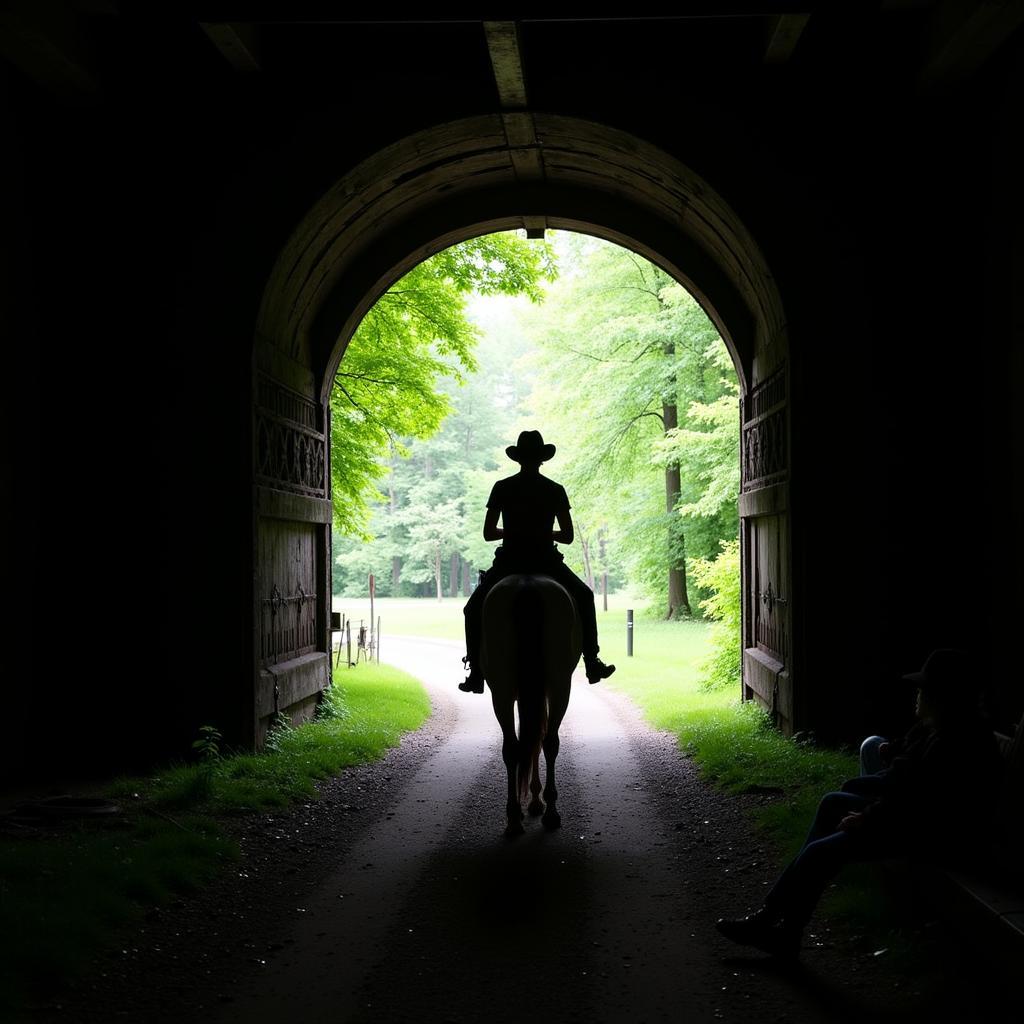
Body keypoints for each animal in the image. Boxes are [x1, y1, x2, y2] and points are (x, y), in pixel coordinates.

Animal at [477, 573, 581, 835]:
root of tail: (527, 584)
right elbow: (535, 738)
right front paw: (536, 800)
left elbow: (530, 739)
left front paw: (533, 801)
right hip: (559, 684)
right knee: (548, 742)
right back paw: (548, 814)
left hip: (503, 689)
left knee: (516, 747)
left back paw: (515, 818)